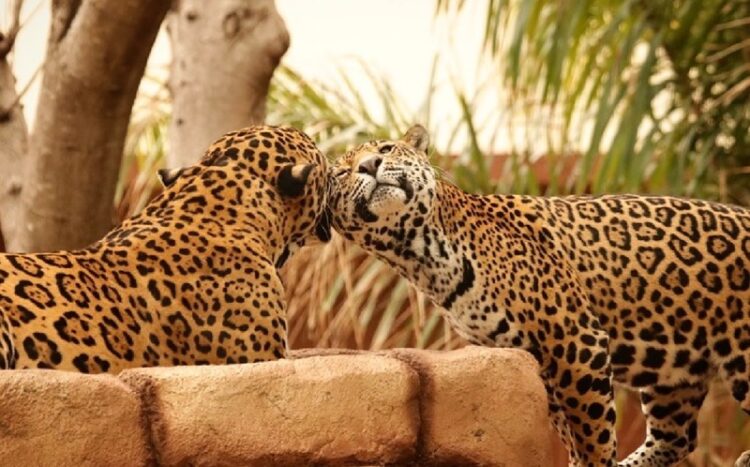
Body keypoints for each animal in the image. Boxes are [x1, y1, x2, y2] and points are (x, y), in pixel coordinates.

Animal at [327, 124, 750, 467]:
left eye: (385, 149)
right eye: (343, 172)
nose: (369, 165)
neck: (420, 252)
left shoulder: (576, 342)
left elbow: (592, 431)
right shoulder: (535, 359)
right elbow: (569, 429)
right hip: (675, 371)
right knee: (677, 438)